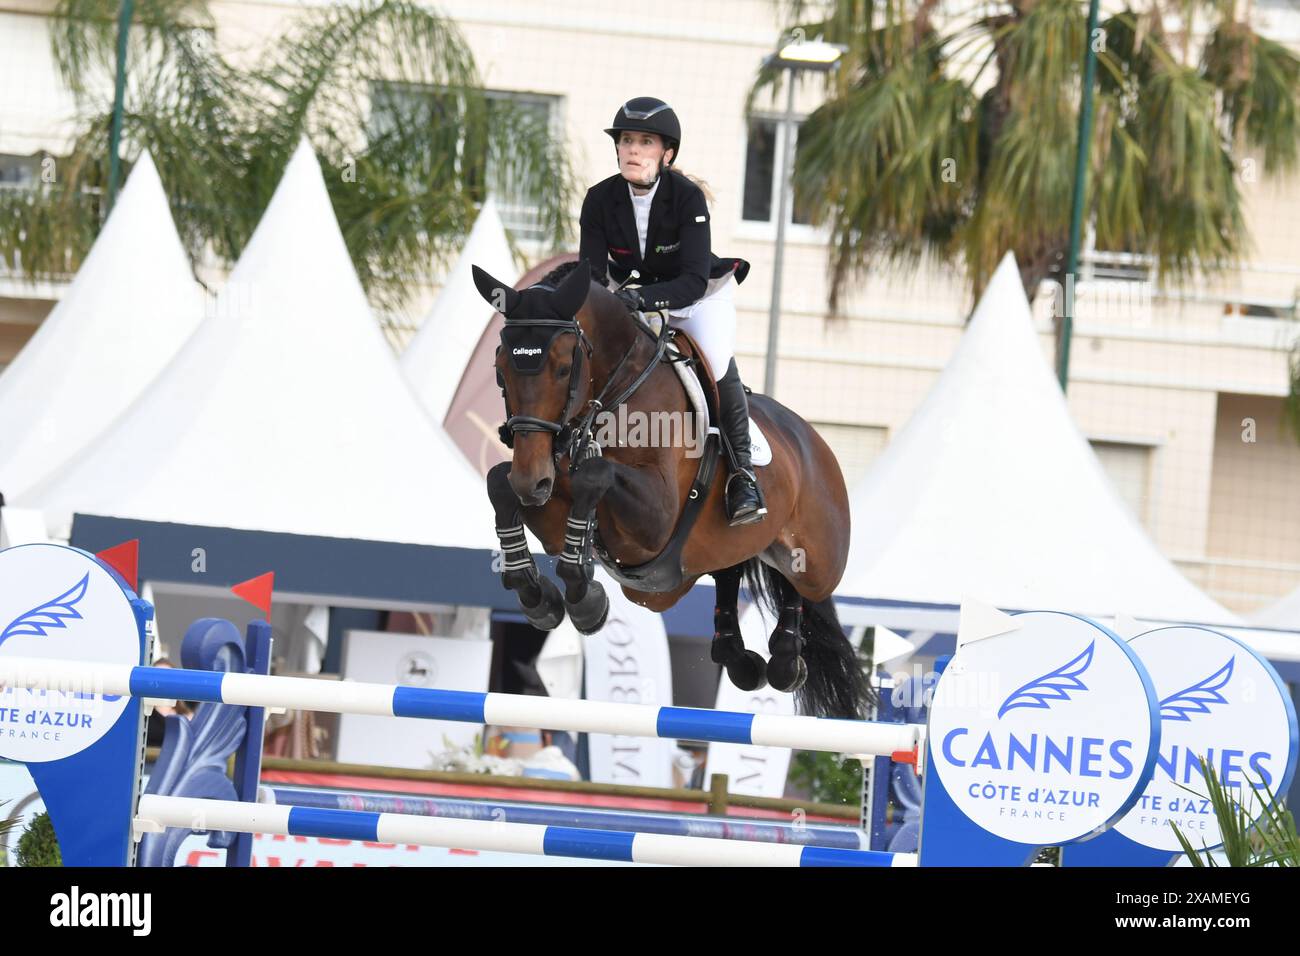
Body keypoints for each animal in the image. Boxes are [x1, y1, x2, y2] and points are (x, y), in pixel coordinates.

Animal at [473, 257, 868, 723]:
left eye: (563, 368)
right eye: (500, 369)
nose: (531, 480)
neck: (613, 393)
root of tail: (811, 437)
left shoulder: (654, 521)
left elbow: (595, 474)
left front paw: (585, 598)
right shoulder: (551, 500)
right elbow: (499, 483)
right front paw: (539, 596)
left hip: (822, 558)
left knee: (799, 580)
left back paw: (786, 658)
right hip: (679, 576)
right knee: (728, 572)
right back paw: (737, 656)